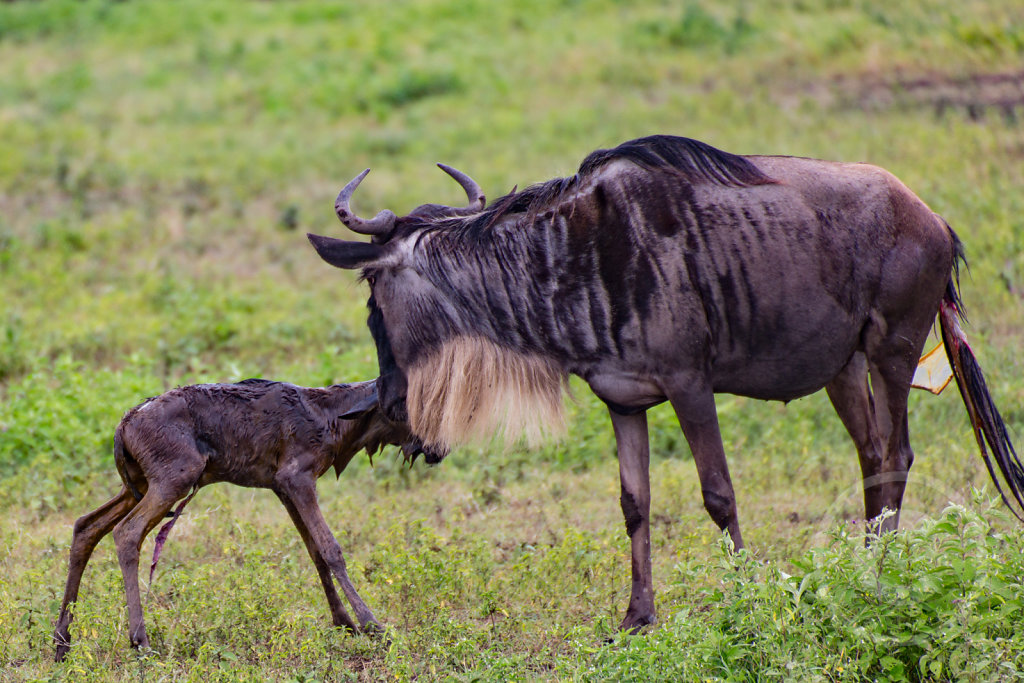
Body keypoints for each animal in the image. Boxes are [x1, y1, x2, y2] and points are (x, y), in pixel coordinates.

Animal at [55, 378, 440, 663]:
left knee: (86, 526)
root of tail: (124, 423)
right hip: (172, 481)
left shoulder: (283, 487)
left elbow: (315, 551)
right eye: (405, 406)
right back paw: (140, 642)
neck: (332, 417)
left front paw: (344, 623)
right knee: (126, 533)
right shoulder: (297, 478)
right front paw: (374, 627)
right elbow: (331, 549)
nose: (436, 450)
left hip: (138, 486)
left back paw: (62, 642)